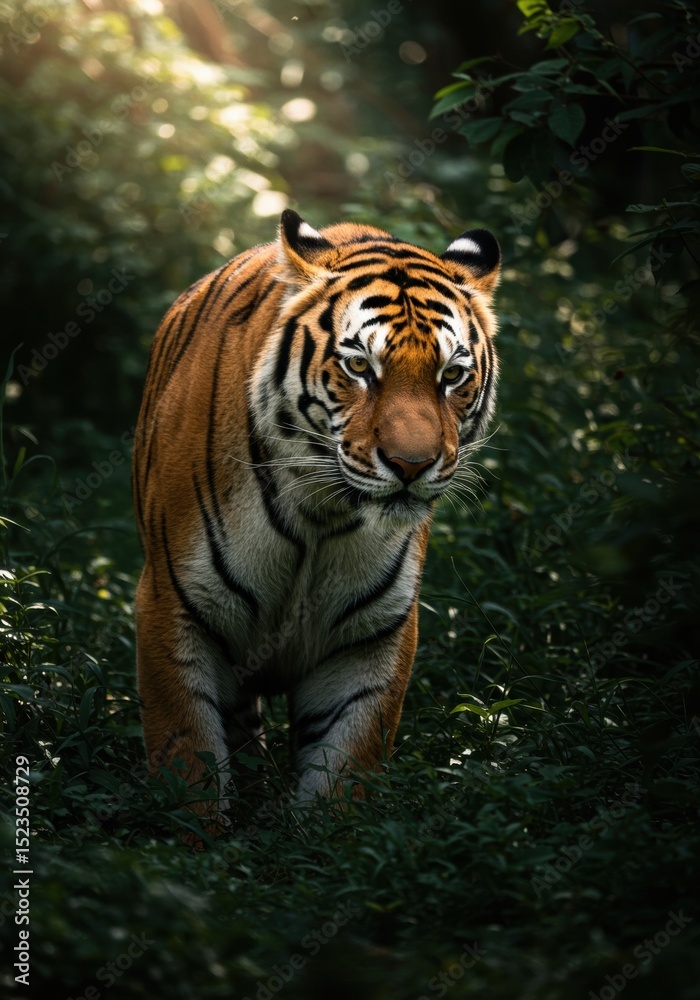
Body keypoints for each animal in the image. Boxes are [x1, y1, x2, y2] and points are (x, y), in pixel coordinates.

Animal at [132, 209, 500, 823]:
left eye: (451, 375)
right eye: (359, 366)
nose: (411, 464)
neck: (321, 513)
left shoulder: (369, 640)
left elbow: (341, 782)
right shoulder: (174, 606)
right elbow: (187, 768)